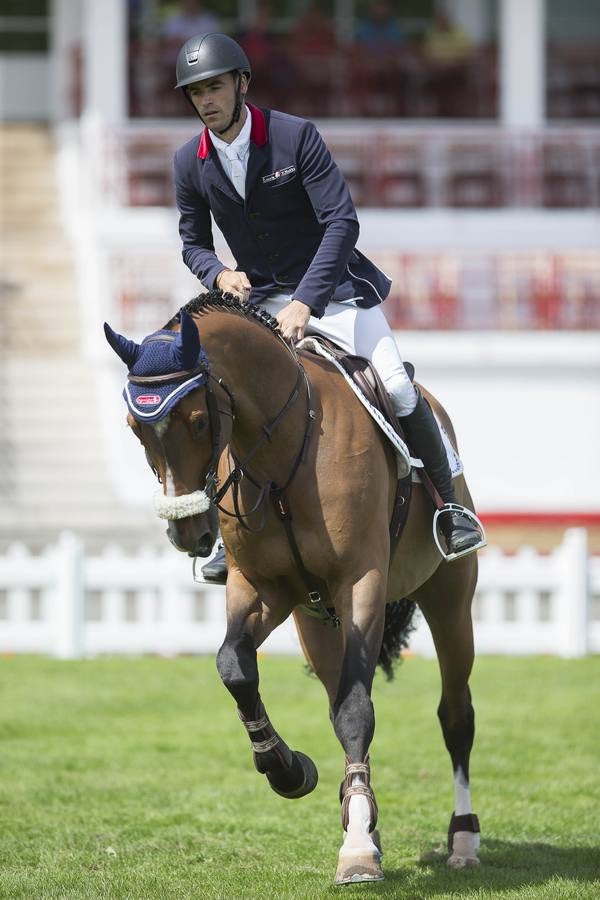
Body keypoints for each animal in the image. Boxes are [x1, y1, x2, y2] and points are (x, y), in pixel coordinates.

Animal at [105, 292, 482, 884]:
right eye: (134, 427)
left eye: (197, 421)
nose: (188, 533)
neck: (281, 452)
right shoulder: (263, 587)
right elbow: (235, 667)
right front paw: (288, 770)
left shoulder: (361, 581)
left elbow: (356, 711)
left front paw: (357, 849)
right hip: (316, 619)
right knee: (339, 696)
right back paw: (362, 817)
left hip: (448, 599)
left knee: (454, 714)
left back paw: (462, 839)